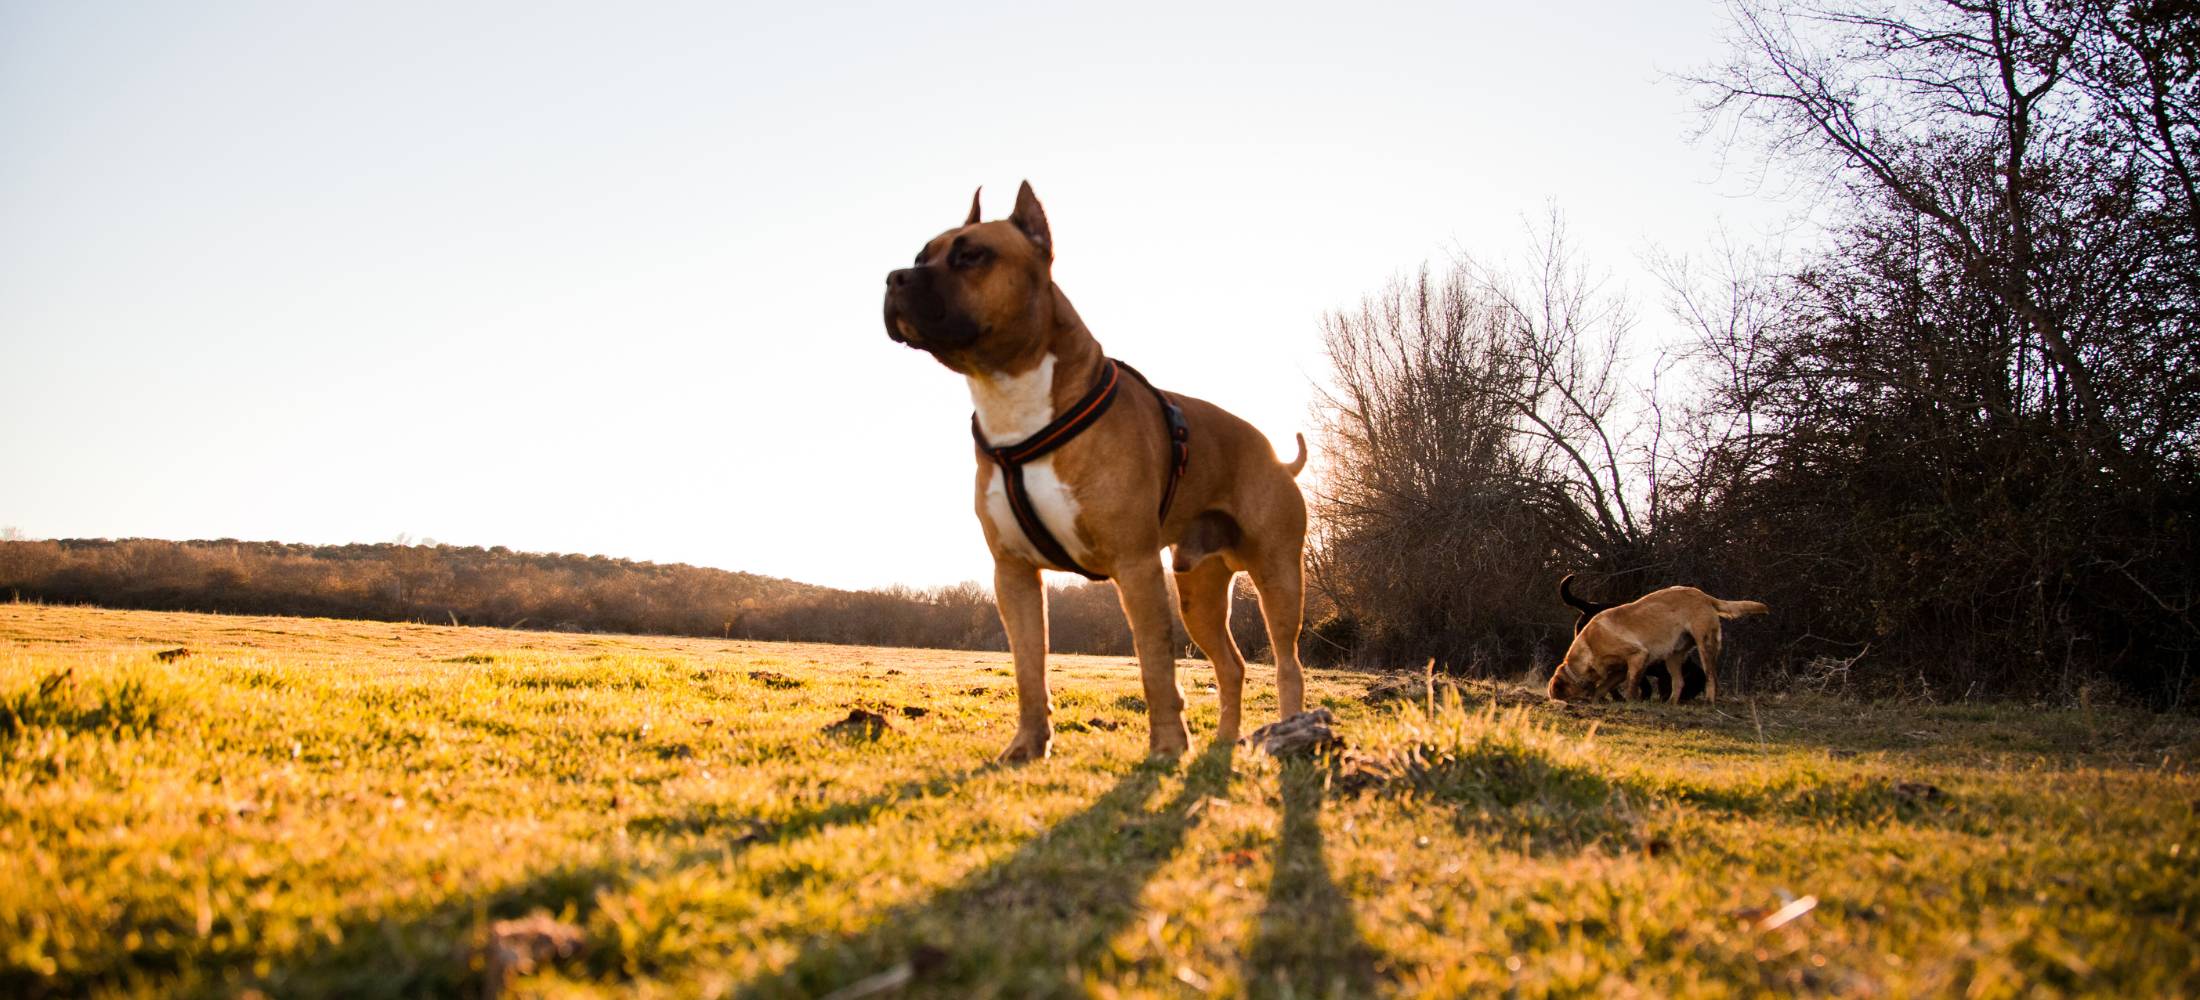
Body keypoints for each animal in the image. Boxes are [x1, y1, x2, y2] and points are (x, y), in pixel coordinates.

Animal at [884, 182, 1311, 760]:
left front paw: (1168, 748)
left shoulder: (1135, 567)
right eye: (918, 257)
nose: (893, 278)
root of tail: (1277, 457)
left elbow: (1155, 666)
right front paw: (1028, 745)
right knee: (1232, 665)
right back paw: (1224, 742)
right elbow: (1028, 669)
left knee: (1288, 663)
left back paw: (1291, 732)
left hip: (1278, 578)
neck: (1015, 402)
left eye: (971, 256)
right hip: (1199, 591)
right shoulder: (1013, 574)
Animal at [1548, 589, 1768, 703]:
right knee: (1679, 682)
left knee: (1711, 677)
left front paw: (1631, 702)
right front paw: (1598, 699)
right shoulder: (1620, 669)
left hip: (1705, 644)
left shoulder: (1638, 656)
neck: (1590, 647)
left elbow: (1632, 685)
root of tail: (1705, 596)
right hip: (1674, 656)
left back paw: (1709, 702)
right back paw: (1671, 703)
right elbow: (1604, 687)